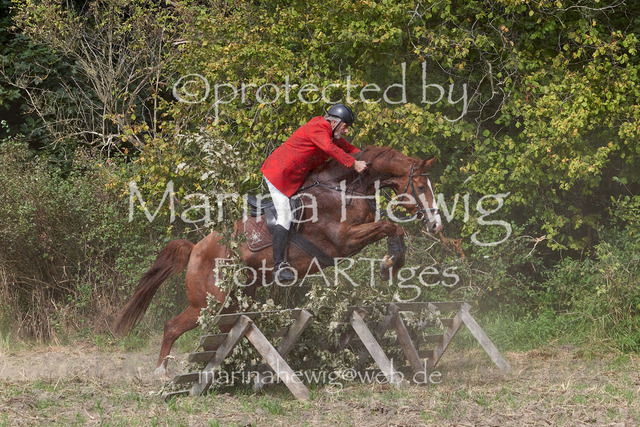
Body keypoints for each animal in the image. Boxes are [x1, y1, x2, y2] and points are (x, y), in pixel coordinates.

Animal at [113, 145, 443, 376]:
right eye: (421, 188)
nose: (436, 224)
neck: (345, 189)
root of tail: (196, 248)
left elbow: (392, 228)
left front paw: (392, 262)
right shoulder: (343, 240)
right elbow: (390, 226)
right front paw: (389, 263)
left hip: (237, 299)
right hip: (209, 301)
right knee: (171, 327)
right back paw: (161, 372)